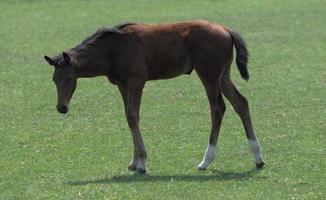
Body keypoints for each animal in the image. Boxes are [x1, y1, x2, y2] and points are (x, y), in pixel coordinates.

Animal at [44, 19, 264, 174]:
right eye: (54, 80)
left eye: (70, 78)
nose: (61, 107)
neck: (113, 48)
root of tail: (226, 30)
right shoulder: (122, 85)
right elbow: (129, 117)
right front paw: (134, 162)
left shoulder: (136, 81)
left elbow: (133, 116)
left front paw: (142, 163)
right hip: (223, 75)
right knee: (241, 103)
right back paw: (258, 158)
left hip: (209, 75)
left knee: (218, 108)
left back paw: (206, 160)